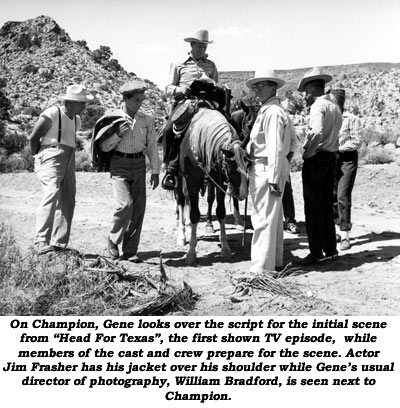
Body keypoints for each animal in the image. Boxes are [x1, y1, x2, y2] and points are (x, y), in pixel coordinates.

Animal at [174, 107, 248, 264]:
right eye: (232, 168)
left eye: (247, 165)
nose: (243, 194)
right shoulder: (191, 182)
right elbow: (195, 214)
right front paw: (191, 253)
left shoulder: (219, 182)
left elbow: (220, 211)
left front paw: (225, 249)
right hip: (179, 178)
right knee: (181, 201)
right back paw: (182, 235)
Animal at [203, 101, 260, 233]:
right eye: (249, 125)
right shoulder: (211, 176)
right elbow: (210, 197)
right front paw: (209, 224)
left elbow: (235, 195)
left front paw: (238, 221)